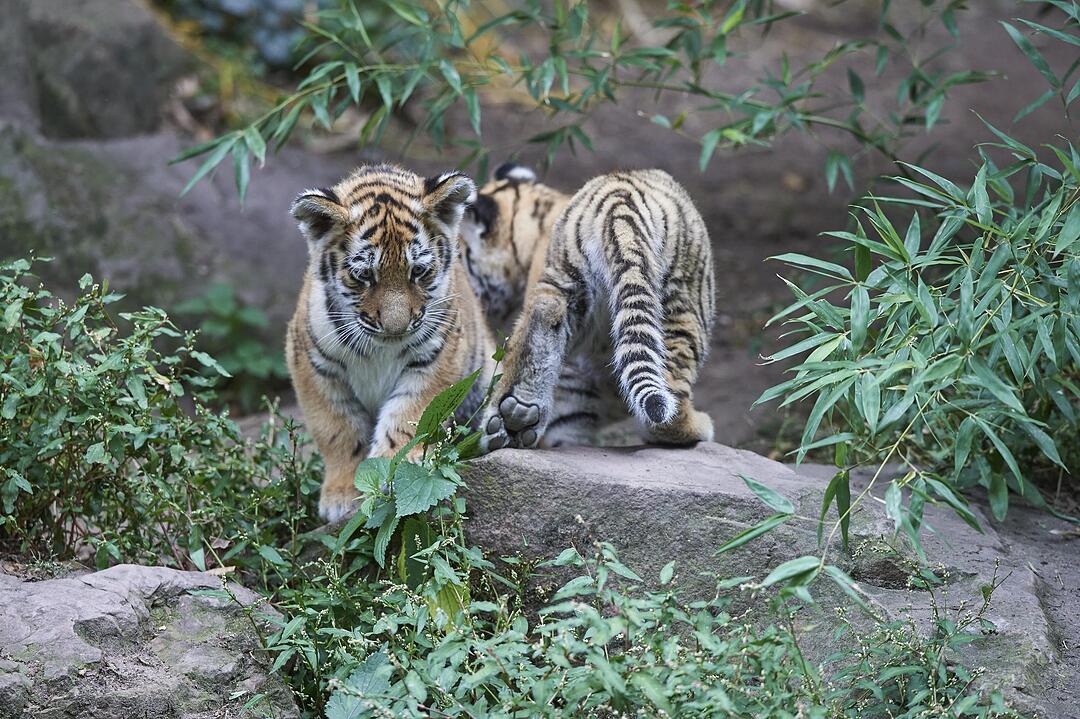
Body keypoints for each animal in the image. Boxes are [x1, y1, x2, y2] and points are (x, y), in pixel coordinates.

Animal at [285, 164, 495, 522]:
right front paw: (341, 495)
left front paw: (392, 468)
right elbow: (338, 430)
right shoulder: (313, 365)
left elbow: (410, 418)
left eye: (419, 271)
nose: (395, 328)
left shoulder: (438, 359)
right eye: (363, 276)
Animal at [461, 166, 717, 451]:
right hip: (684, 307)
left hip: (565, 285)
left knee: (542, 324)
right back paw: (698, 427)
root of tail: (618, 203)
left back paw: (515, 417)